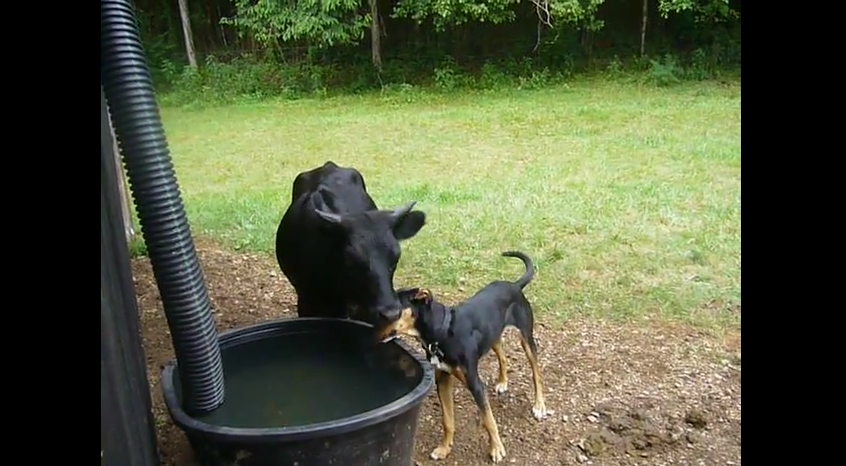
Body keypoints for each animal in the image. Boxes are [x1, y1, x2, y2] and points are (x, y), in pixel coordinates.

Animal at [380, 251, 552, 462]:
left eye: (394, 310)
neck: (443, 331)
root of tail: (514, 285)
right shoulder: (443, 379)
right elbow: (447, 420)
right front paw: (444, 449)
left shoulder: (476, 384)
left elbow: (488, 419)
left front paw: (497, 448)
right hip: (493, 335)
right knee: (503, 356)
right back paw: (503, 381)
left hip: (526, 337)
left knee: (537, 372)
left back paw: (539, 405)